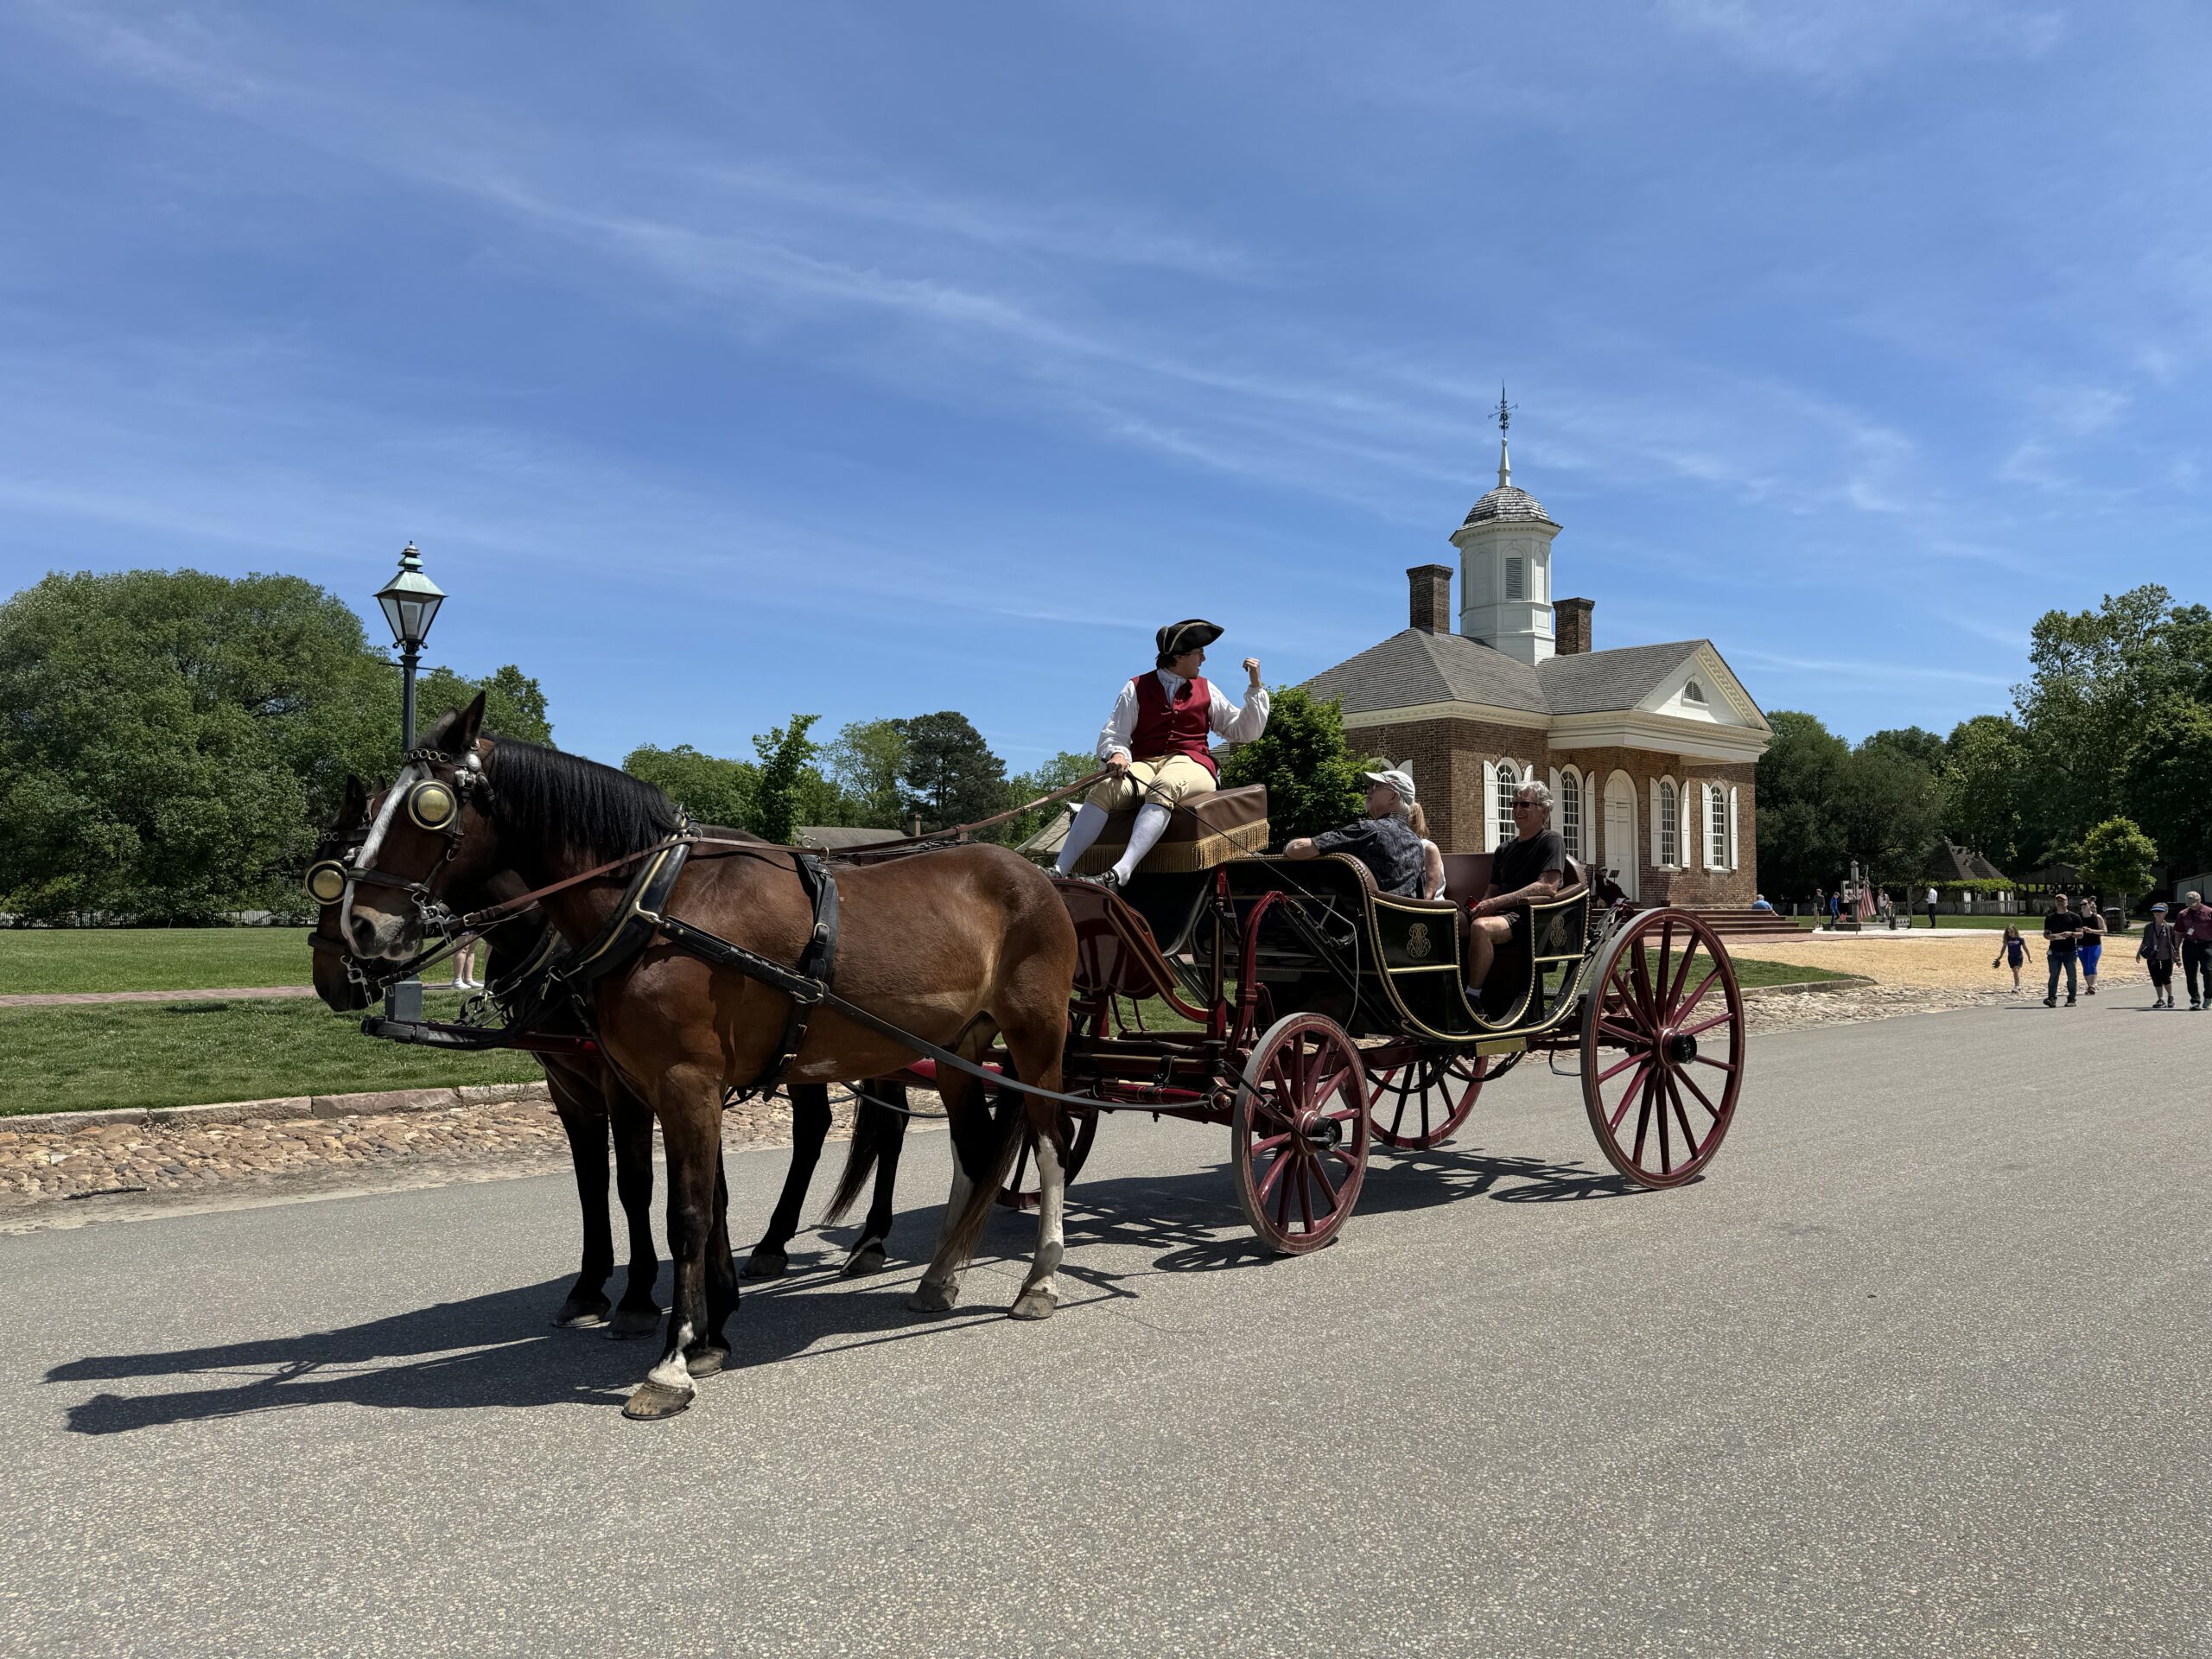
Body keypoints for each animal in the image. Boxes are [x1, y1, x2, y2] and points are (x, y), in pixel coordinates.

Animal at [337, 694, 1078, 1420]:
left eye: (428, 805)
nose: (360, 926)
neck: (659, 904)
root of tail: (1033, 876)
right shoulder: (649, 1084)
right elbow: (689, 1197)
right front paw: (707, 1334)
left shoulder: (685, 1081)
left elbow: (685, 1213)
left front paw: (671, 1361)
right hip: (957, 1051)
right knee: (974, 1154)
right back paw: (941, 1275)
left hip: (1037, 1041)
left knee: (1048, 1144)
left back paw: (1039, 1279)